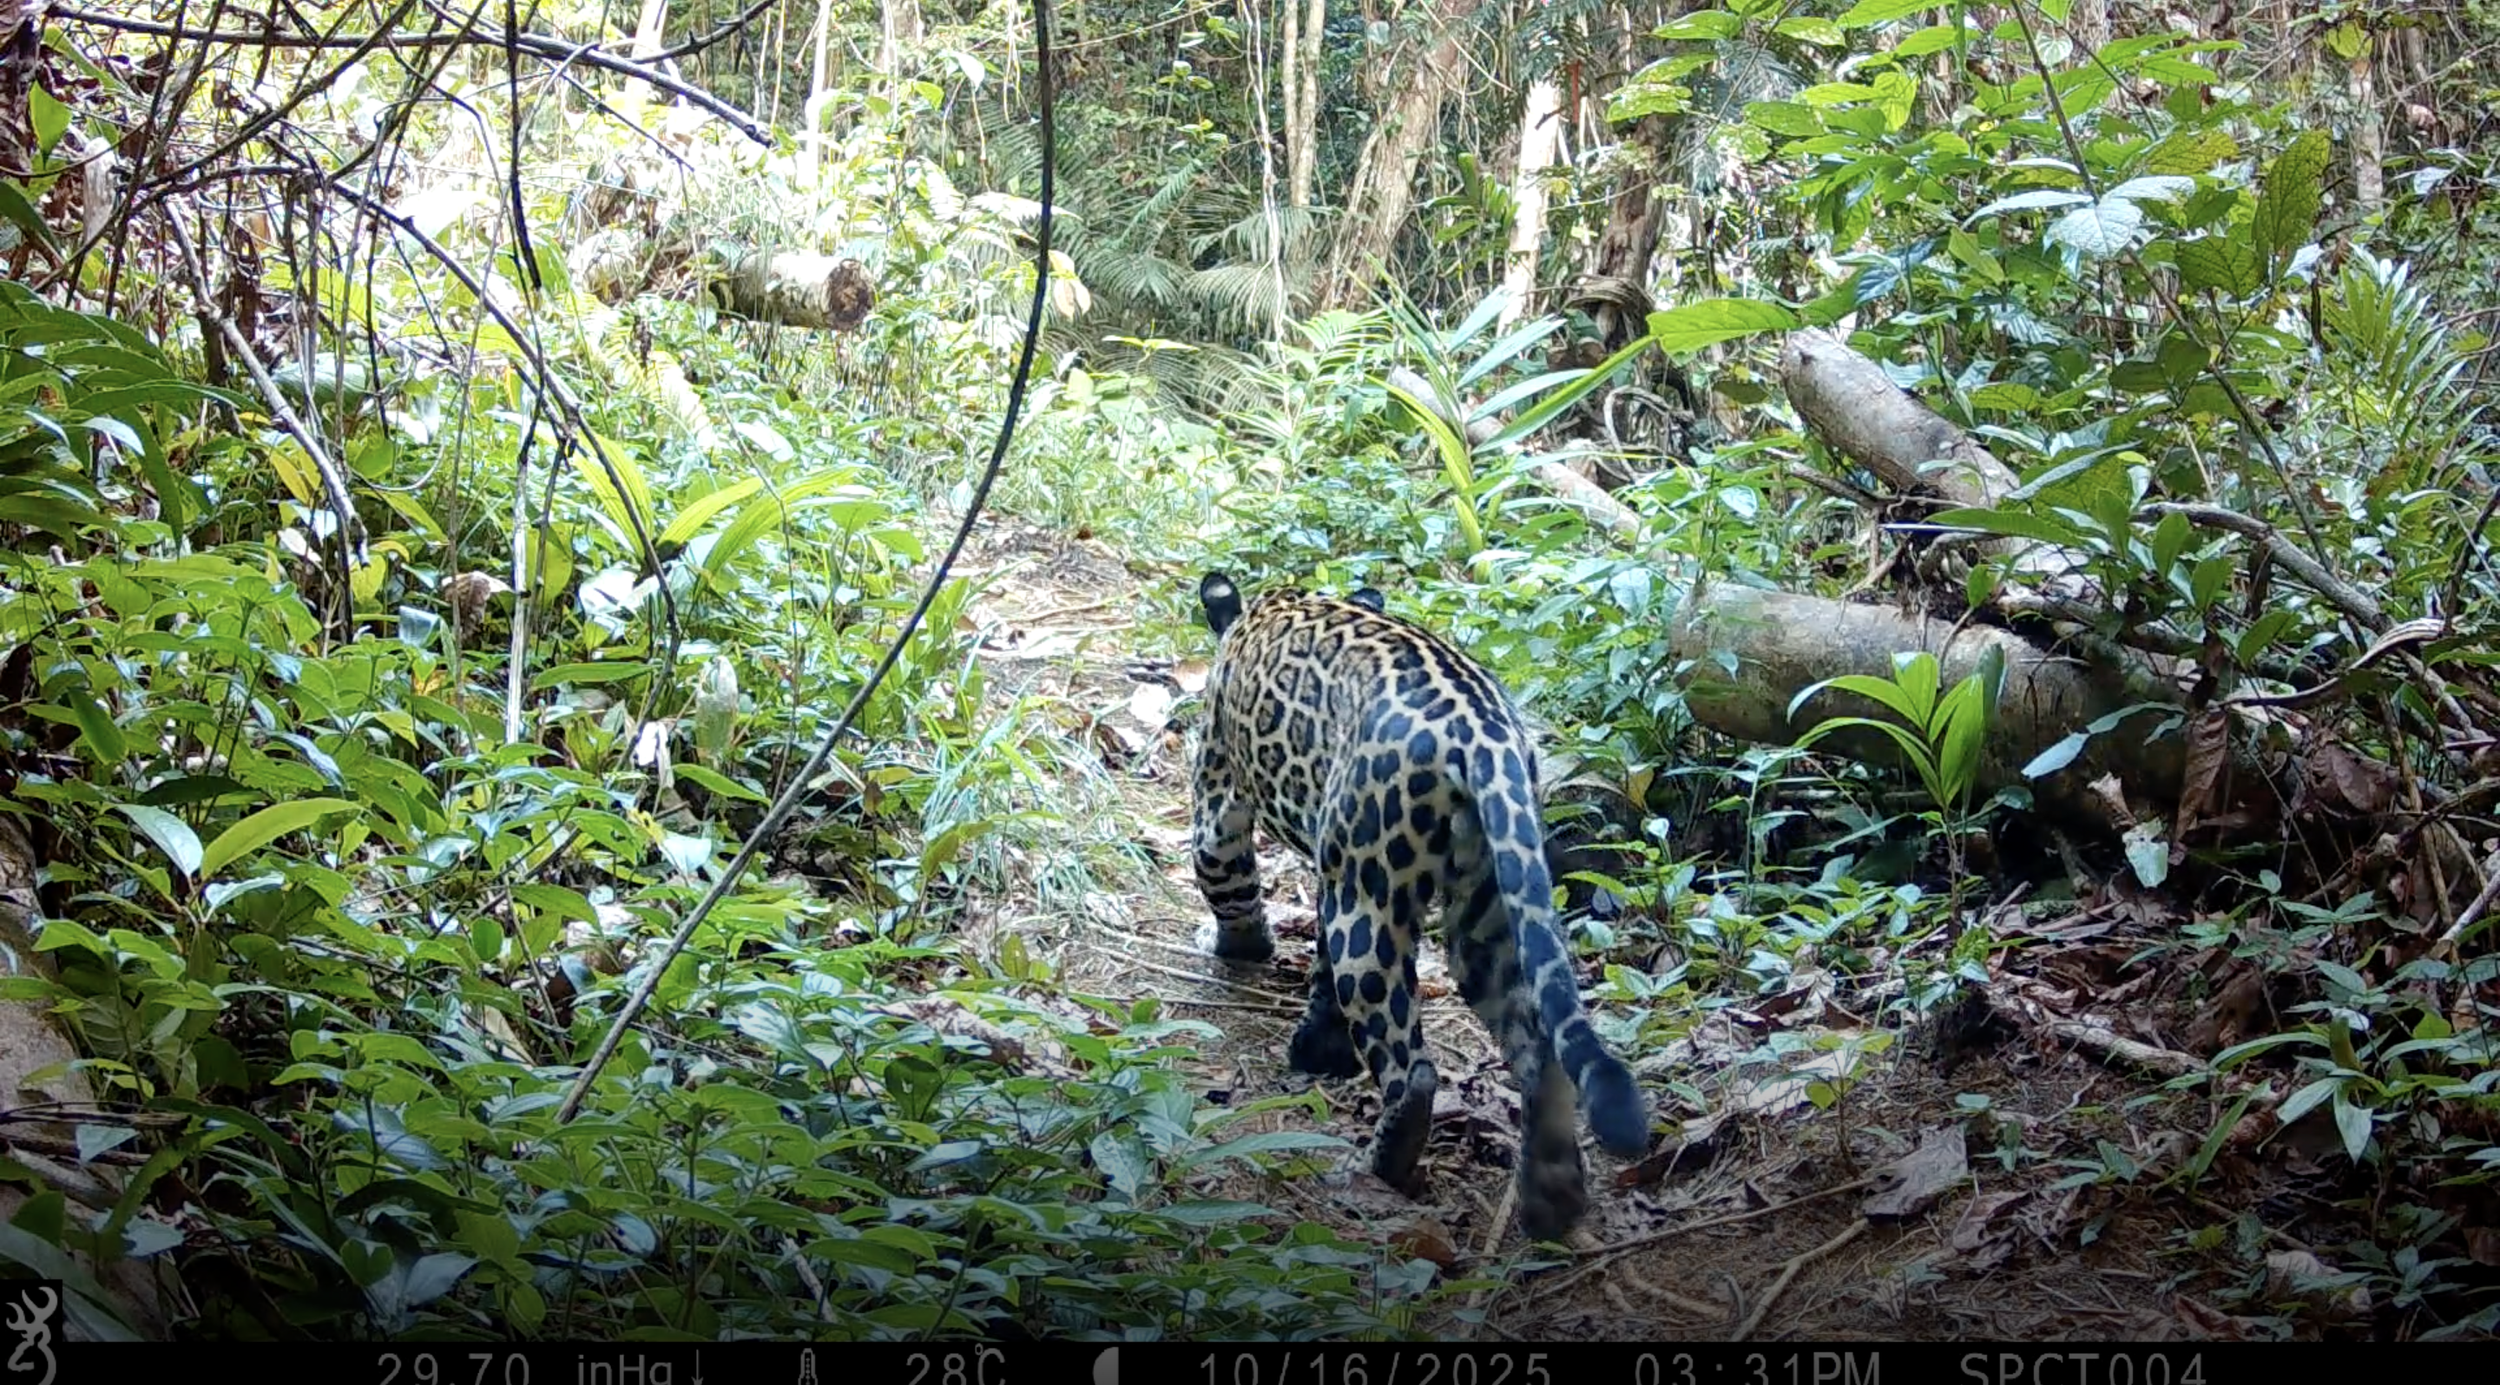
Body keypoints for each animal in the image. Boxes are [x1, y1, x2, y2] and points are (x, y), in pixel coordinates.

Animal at [1184, 571, 1650, 1241]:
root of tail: (1487, 736)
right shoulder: (1332, 863)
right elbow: (1321, 969)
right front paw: (1319, 1047)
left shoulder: (1223, 798)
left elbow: (1226, 880)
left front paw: (1239, 949)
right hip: (1486, 903)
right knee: (1539, 1050)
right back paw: (1550, 1196)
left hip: (1370, 895)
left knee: (1415, 1070)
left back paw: (1379, 1166)